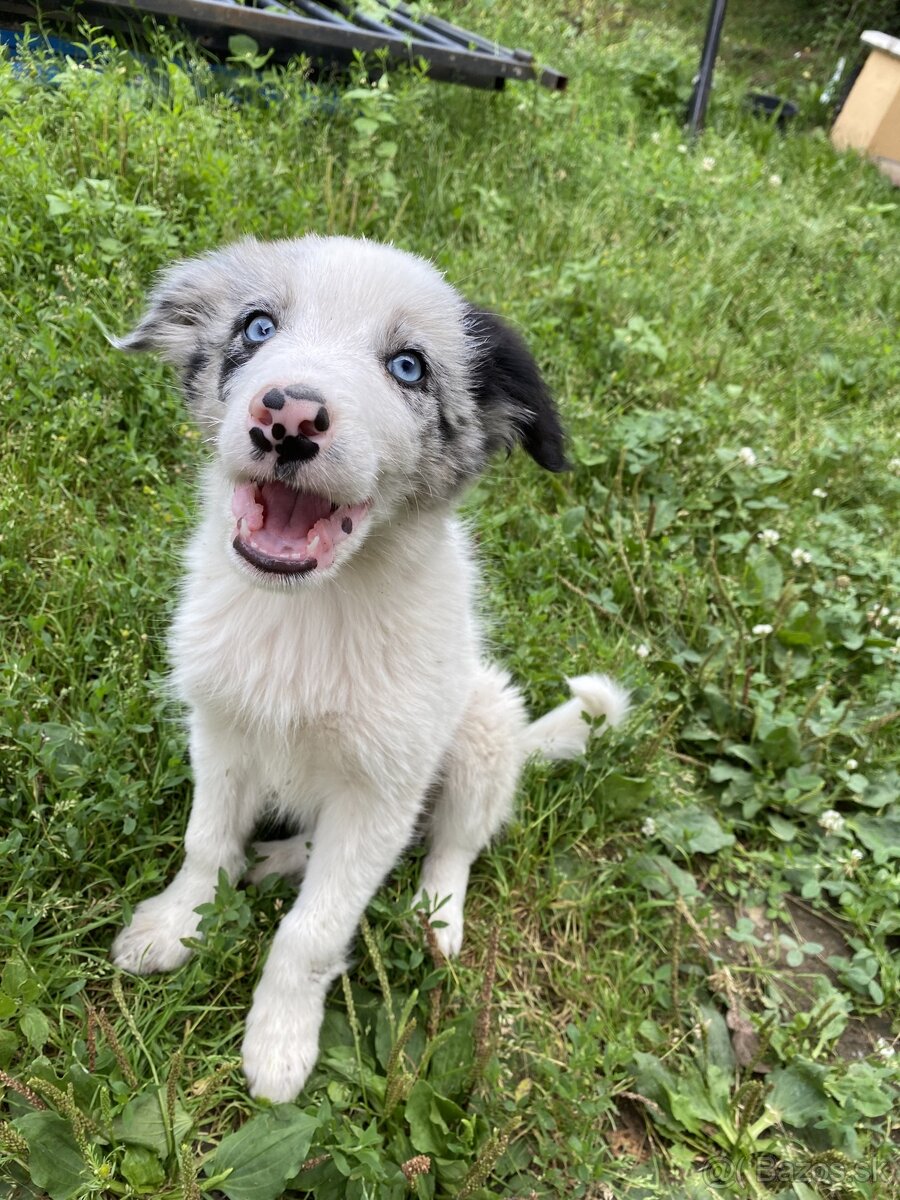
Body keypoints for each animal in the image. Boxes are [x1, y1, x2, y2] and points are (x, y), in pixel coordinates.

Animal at [109, 236, 628, 1104]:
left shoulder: (384, 786)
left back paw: (436, 918)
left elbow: (315, 930)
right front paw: (175, 927)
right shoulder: (220, 731)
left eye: (409, 367)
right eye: (257, 326)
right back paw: (275, 858)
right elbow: (204, 842)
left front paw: (280, 1045)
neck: (310, 611)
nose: (286, 416)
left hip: (484, 725)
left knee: (452, 843)